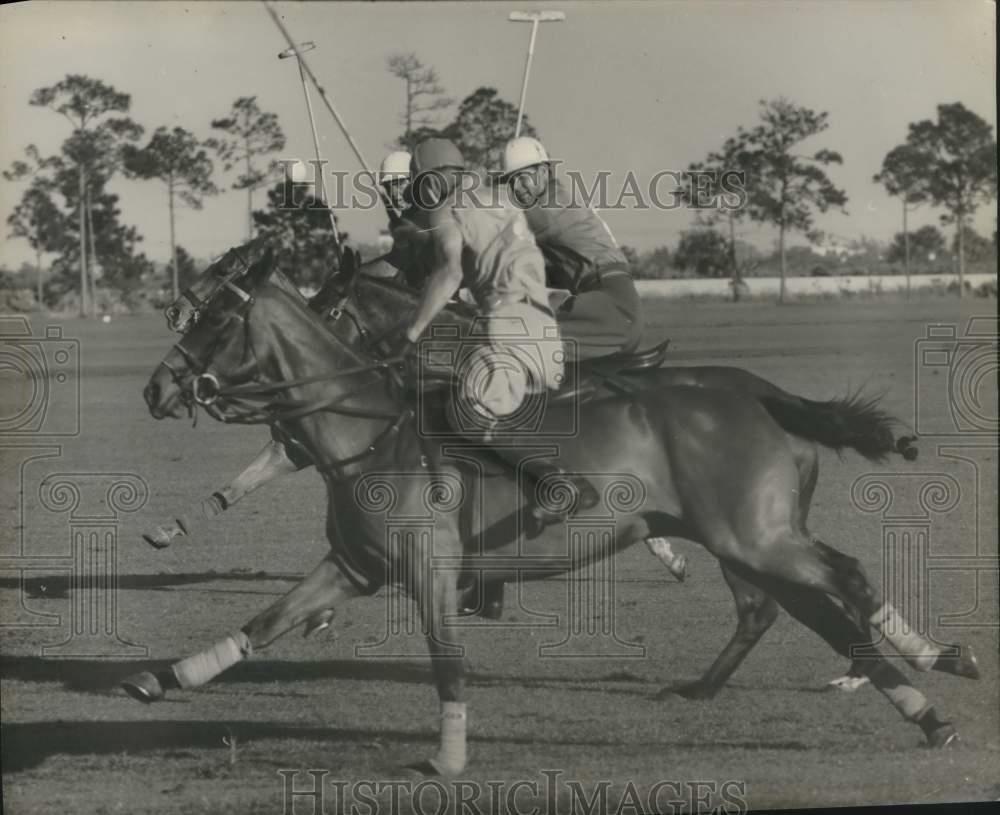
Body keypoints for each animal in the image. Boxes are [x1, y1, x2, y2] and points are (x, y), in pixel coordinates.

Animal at [123, 245, 976, 776]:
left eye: (214, 317)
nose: (157, 389)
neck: (370, 431)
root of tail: (760, 391)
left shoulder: (430, 570)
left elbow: (447, 660)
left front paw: (448, 757)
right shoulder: (355, 566)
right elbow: (266, 619)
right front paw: (167, 675)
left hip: (756, 534)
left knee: (840, 584)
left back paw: (924, 693)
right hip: (745, 536)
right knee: (791, 602)